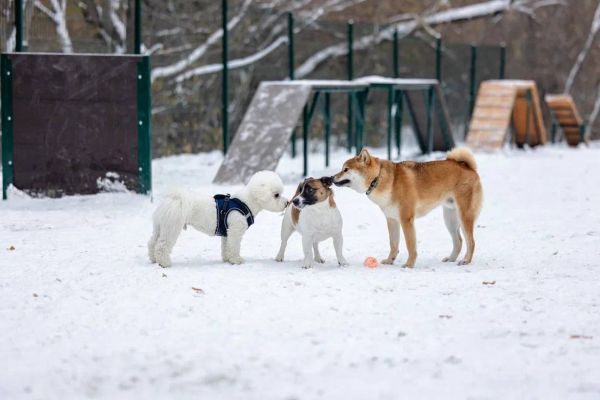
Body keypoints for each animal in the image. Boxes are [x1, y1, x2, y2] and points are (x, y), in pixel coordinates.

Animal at [148, 170, 288, 268]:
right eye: (276, 195)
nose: (287, 203)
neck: (245, 203)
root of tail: (173, 199)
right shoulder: (235, 231)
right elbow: (234, 247)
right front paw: (236, 260)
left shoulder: (227, 233)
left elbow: (227, 247)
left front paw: (228, 259)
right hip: (171, 227)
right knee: (162, 245)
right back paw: (164, 263)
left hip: (159, 226)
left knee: (152, 243)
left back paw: (153, 259)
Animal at [332, 148, 482, 268]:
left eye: (346, 169)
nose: (332, 177)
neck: (378, 179)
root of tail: (468, 167)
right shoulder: (392, 220)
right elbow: (393, 244)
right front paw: (390, 260)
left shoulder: (406, 220)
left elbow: (410, 246)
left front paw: (409, 264)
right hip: (450, 219)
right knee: (459, 241)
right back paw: (451, 258)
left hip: (464, 216)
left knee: (471, 242)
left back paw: (466, 260)